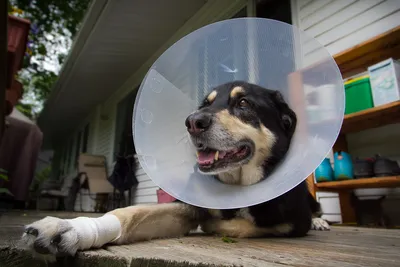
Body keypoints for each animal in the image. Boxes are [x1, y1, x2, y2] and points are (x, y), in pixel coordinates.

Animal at [21, 81, 328, 260]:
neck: (236, 187)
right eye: (205, 104)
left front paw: (219, 224)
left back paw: (320, 222)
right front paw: (70, 227)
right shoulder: (187, 206)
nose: (193, 122)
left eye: (244, 103)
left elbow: (239, 226)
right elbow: (131, 213)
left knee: (316, 209)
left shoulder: (291, 223)